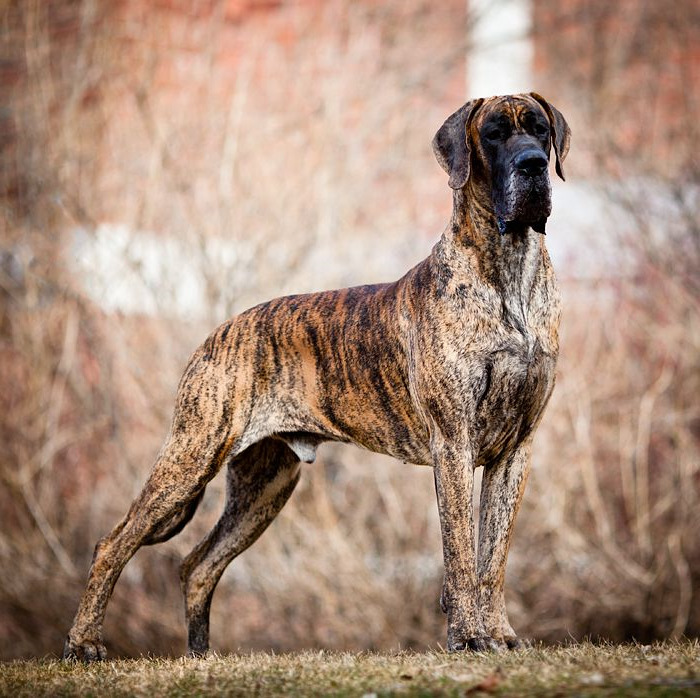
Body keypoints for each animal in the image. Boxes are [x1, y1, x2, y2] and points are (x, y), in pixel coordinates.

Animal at [64, 92, 568, 656]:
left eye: (540, 130)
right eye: (494, 134)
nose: (534, 165)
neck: (509, 268)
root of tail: (217, 333)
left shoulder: (515, 449)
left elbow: (493, 556)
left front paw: (499, 633)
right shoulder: (453, 443)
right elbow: (460, 552)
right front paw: (467, 636)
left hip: (264, 486)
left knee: (198, 565)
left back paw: (199, 657)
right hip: (191, 456)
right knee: (114, 543)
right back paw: (84, 643)